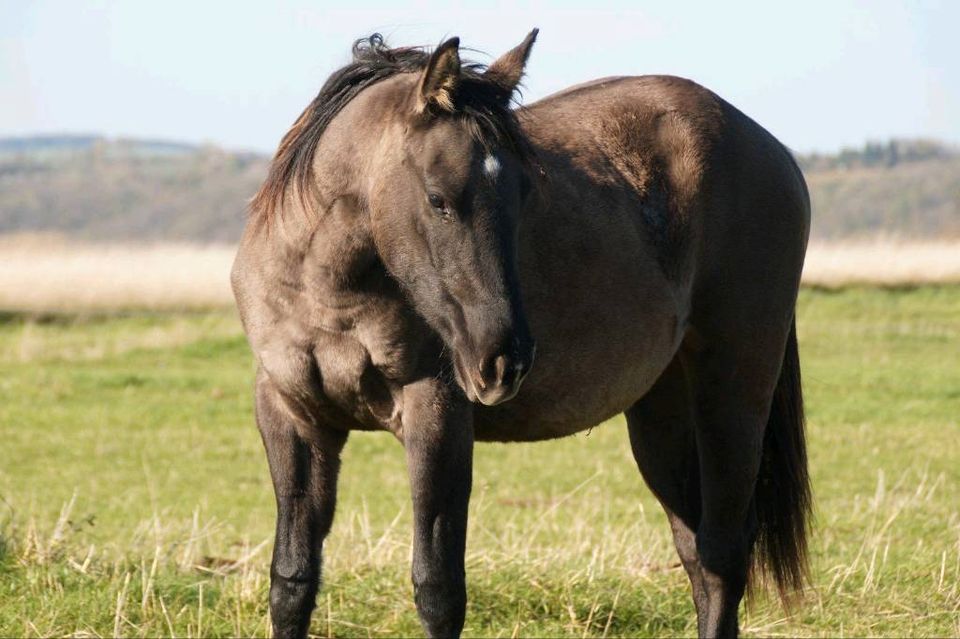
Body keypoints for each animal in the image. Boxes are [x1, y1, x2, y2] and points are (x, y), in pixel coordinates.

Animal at [231, 30, 808, 639]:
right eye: (438, 199)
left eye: (525, 194)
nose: (503, 361)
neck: (328, 293)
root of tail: (772, 150)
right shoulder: (292, 416)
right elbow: (292, 581)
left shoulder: (436, 413)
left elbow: (437, 587)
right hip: (662, 411)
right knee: (696, 551)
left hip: (734, 393)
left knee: (722, 554)